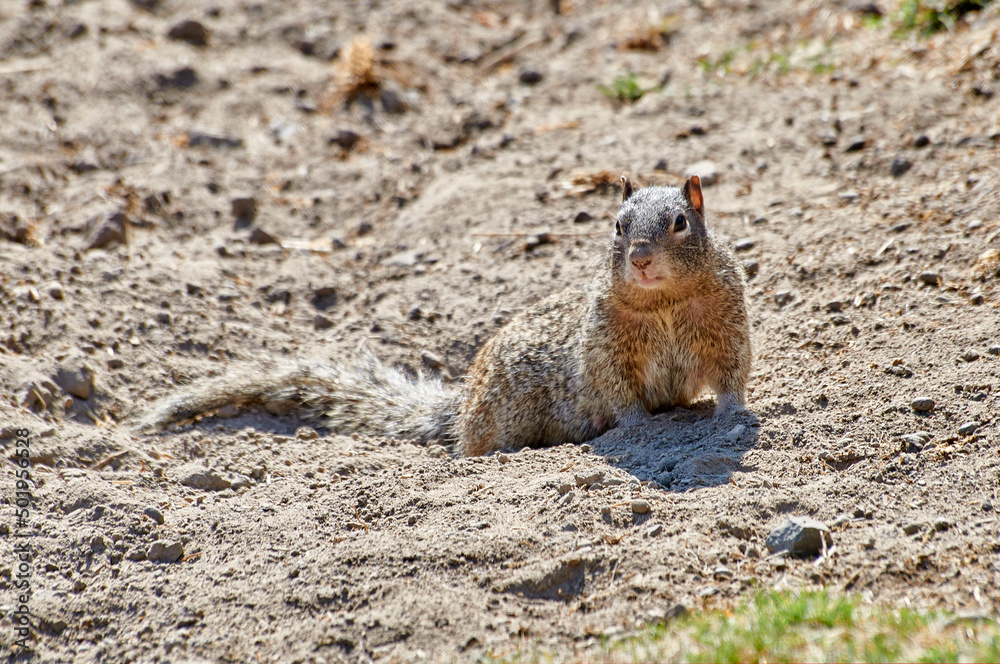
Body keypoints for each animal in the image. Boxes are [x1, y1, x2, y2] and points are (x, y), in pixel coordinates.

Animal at [139, 175, 751, 456]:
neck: (662, 302)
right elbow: (619, 394)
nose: (641, 258)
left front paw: (732, 414)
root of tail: (460, 409)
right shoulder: (605, 350)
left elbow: (730, 376)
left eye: (679, 222)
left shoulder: (727, 325)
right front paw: (639, 427)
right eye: (618, 226)